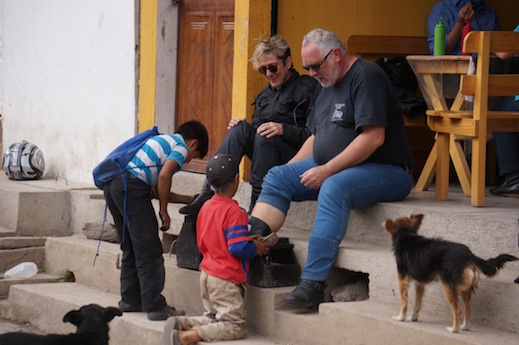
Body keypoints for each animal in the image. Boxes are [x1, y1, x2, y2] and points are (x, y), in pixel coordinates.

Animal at [384, 214, 516, 332]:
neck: (406, 235)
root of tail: (467, 254)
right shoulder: (419, 284)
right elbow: (417, 302)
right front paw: (413, 317)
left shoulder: (402, 280)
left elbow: (404, 303)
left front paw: (401, 318)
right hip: (464, 289)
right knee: (468, 308)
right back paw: (464, 327)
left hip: (448, 286)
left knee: (457, 310)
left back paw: (454, 329)